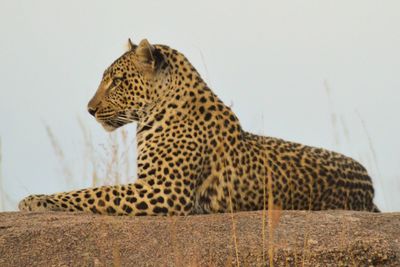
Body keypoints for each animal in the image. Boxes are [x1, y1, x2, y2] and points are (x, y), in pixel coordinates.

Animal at [18, 38, 378, 217]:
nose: (90, 110)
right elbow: (96, 191)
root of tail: (370, 189)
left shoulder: (165, 190)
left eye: (117, 81)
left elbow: (96, 192)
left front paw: (35, 200)